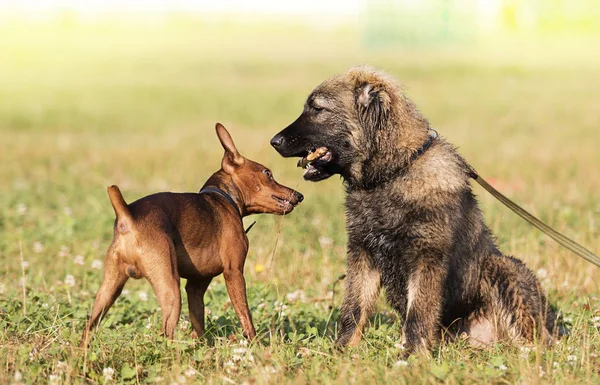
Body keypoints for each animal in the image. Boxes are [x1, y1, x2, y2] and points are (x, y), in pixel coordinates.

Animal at [82, 123, 302, 344]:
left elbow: (199, 322)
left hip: (108, 291)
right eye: (268, 173)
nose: (299, 195)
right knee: (165, 334)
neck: (224, 199)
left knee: (88, 328)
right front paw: (255, 344)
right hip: (170, 289)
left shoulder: (196, 286)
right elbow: (245, 316)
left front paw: (204, 347)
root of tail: (128, 216)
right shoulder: (233, 272)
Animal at [270, 66, 560, 354]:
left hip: (504, 267)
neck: (393, 172)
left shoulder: (426, 258)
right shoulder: (363, 252)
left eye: (318, 108)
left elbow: (418, 313)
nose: (274, 141)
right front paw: (342, 349)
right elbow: (354, 307)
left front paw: (412, 355)